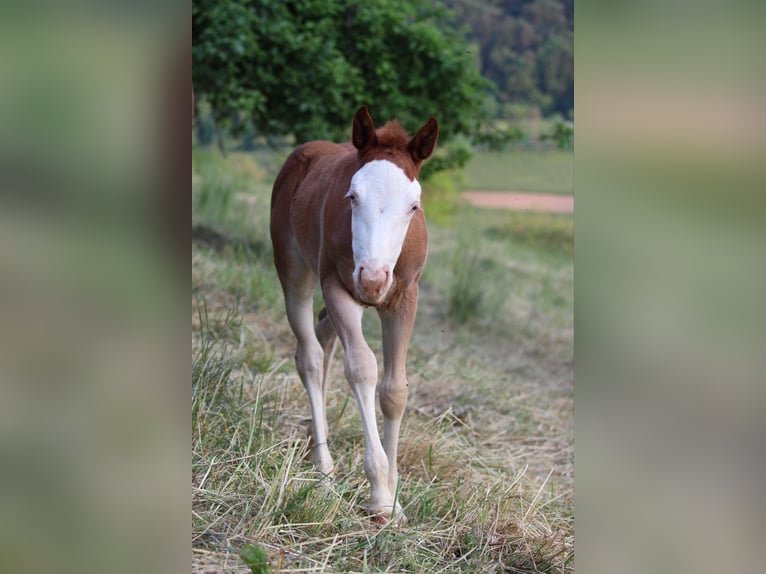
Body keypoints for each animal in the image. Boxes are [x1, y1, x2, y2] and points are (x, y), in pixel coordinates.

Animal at [270, 106, 438, 524]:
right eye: (352, 196)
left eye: (413, 206)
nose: (373, 279)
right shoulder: (337, 287)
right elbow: (362, 368)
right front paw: (378, 496)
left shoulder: (404, 299)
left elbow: (394, 389)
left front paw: (394, 499)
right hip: (294, 270)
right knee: (310, 355)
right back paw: (323, 467)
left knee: (324, 336)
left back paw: (314, 443)